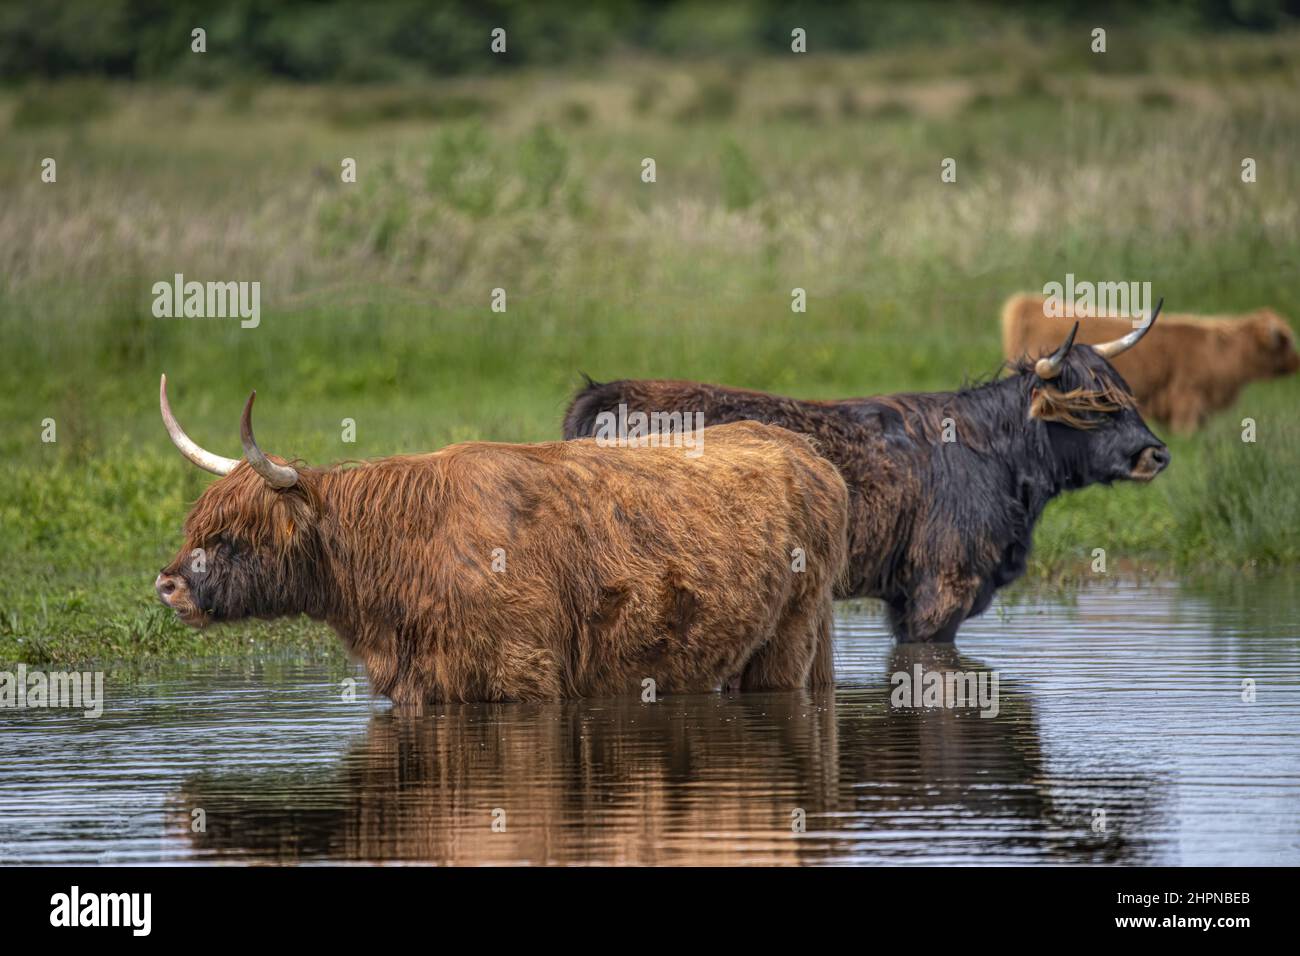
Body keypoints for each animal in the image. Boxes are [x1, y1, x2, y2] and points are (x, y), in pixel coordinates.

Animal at [152, 374, 847, 702]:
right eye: (195, 525)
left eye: (236, 535)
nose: (167, 585)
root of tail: (804, 452)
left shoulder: (523, 675)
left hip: (790, 640)